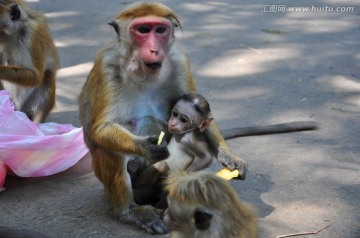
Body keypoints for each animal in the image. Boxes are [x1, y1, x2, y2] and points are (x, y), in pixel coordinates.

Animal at [79, 1, 248, 235]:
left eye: (160, 30)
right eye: (143, 30)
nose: (154, 49)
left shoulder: (179, 62)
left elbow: (203, 115)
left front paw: (230, 156)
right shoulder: (106, 66)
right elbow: (101, 129)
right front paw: (146, 147)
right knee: (111, 149)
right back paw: (130, 210)